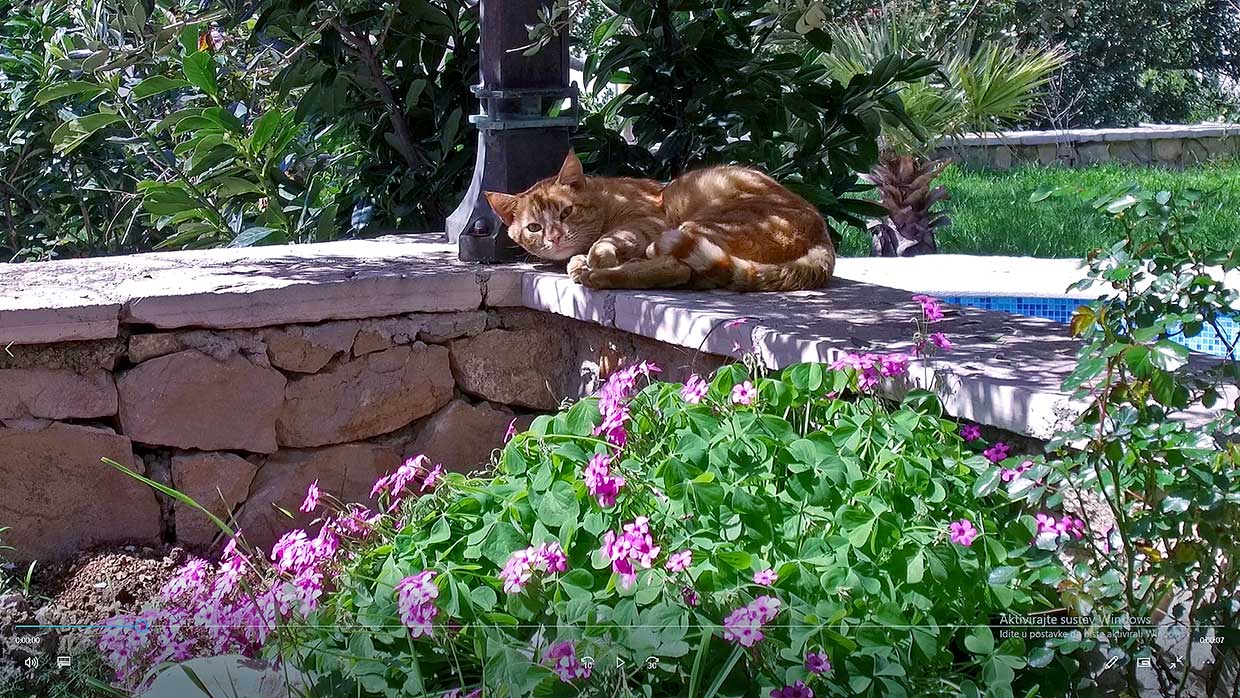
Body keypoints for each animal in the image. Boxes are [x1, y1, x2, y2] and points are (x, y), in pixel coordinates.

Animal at [483, 150, 833, 292]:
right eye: (534, 228)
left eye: (566, 212)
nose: (554, 236)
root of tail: (823, 238)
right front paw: (580, 261)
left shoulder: (649, 220)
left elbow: (606, 243)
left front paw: (596, 259)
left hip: (700, 222)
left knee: (677, 268)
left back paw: (603, 274)